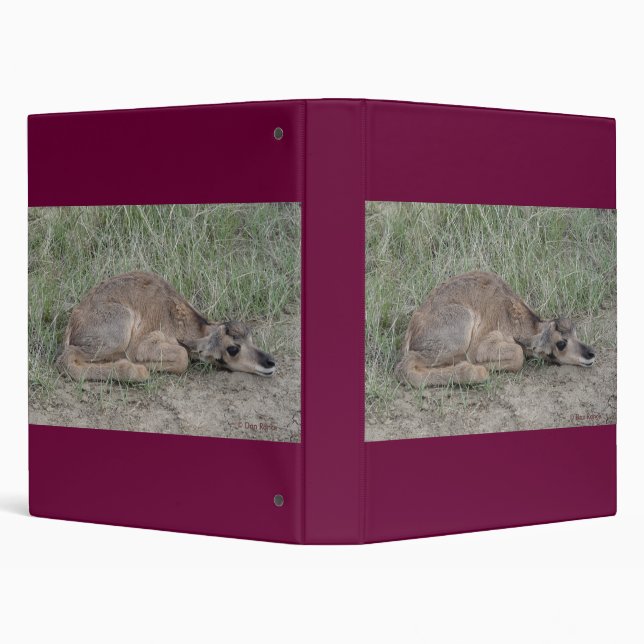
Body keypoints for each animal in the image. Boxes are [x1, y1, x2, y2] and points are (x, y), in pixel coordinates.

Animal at [56, 271, 276, 382]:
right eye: (233, 349)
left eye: (251, 336)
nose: (270, 362)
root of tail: (73, 323)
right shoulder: (144, 344)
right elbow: (183, 356)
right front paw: (142, 365)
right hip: (117, 334)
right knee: (66, 358)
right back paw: (135, 371)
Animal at [395, 271, 596, 387]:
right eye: (561, 343)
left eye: (575, 332)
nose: (591, 354)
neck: (511, 315)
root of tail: (412, 330)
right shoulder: (482, 345)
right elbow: (518, 354)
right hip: (458, 332)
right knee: (404, 365)